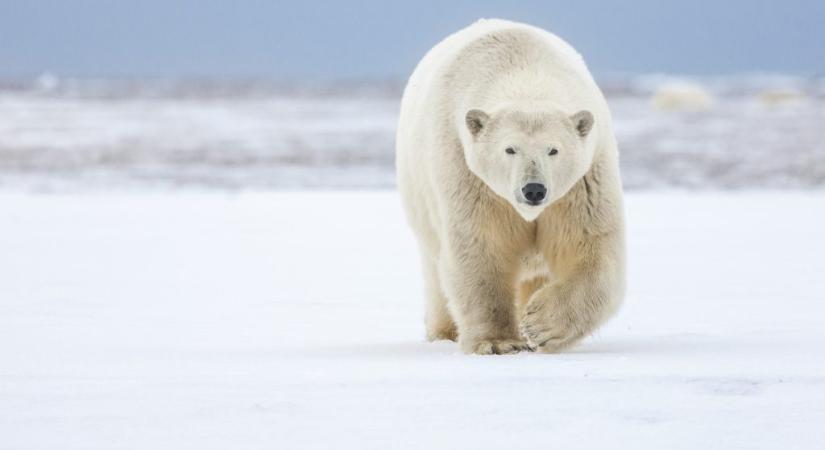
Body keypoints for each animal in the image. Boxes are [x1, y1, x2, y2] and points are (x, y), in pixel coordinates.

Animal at [396, 19, 620, 354]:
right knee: (436, 272)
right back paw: (444, 332)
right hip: (422, 203)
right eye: (510, 149)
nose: (534, 190)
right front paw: (499, 342)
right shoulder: (466, 171)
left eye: (553, 150)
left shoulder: (584, 181)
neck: (523, 70)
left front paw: (539, 326)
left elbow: (589, 245)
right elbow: (481, 246)